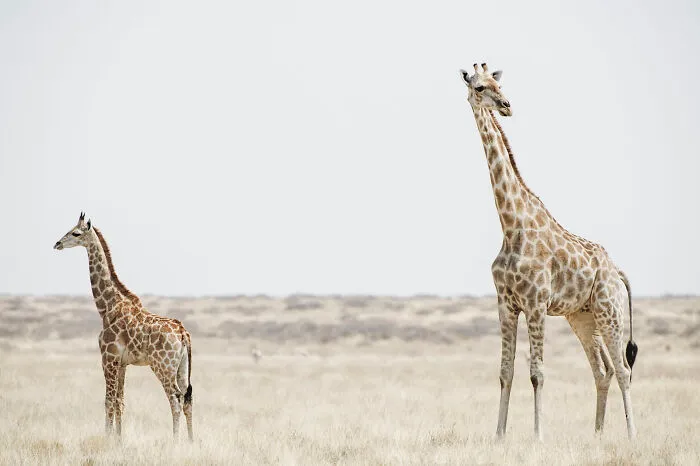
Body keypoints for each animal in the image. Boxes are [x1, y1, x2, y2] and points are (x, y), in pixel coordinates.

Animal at [54, 213, 194, 441]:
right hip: (182, 367)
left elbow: (108, 400)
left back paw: (175, 442)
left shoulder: (107, 358)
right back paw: (190, 441)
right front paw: (118, 440)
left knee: (175, 400)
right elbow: (120, 401)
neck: (107, 306)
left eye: (75, 233)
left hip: (163, 366)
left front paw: (107, 438)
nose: (57, 244)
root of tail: (183, 333)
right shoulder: (122, 363)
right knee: (187, 399)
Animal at [459, 64, 638, 440]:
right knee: (602, 370)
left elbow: (537, 373)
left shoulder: (536, 303)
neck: (511, 223)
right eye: (480, 87)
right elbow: (506, 372)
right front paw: (499, 436)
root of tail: (617, 272)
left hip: (610, 312)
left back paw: (631, 437)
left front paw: (538, 436)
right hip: (583, 317)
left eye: (499, 84)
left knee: (623, 369)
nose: (507, 106)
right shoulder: (506, 303)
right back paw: (597, 436)